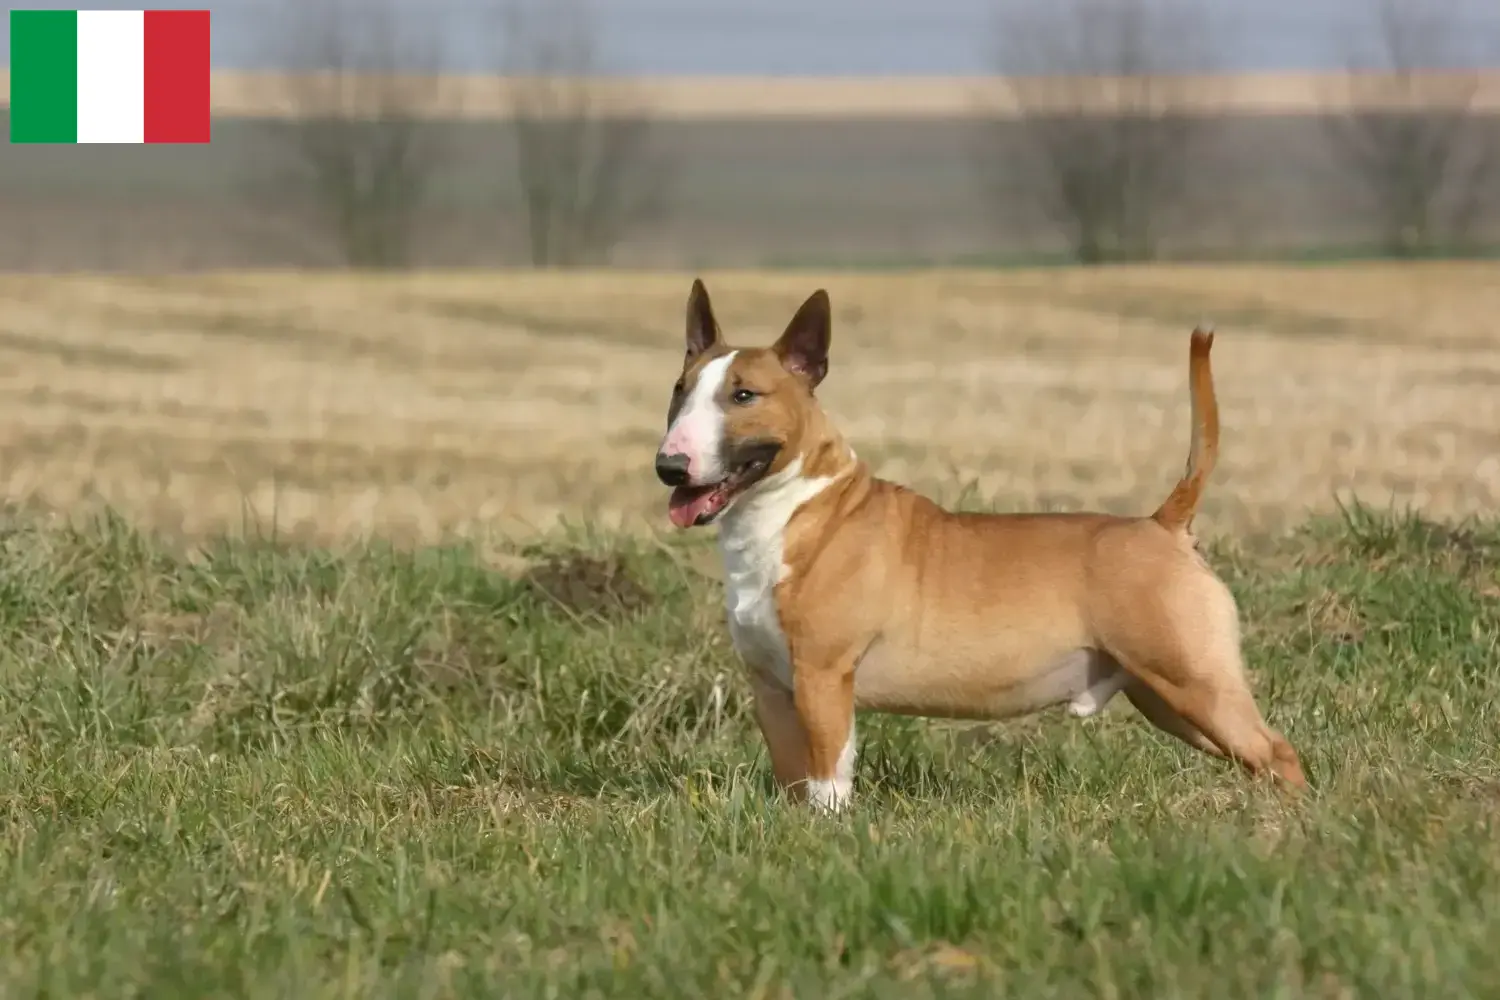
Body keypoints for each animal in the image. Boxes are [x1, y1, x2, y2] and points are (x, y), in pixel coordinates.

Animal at [654, 280, 1302, 815]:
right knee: (1255, 756)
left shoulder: (823, 678)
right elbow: (795, 781)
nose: (669, 466)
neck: (797, 509)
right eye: (679, 390)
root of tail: (1162, 525)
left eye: (744, 395)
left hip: (1194, 680)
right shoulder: (772, 688)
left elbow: (828, 781)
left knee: (1277, 753)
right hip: (1166, 698)